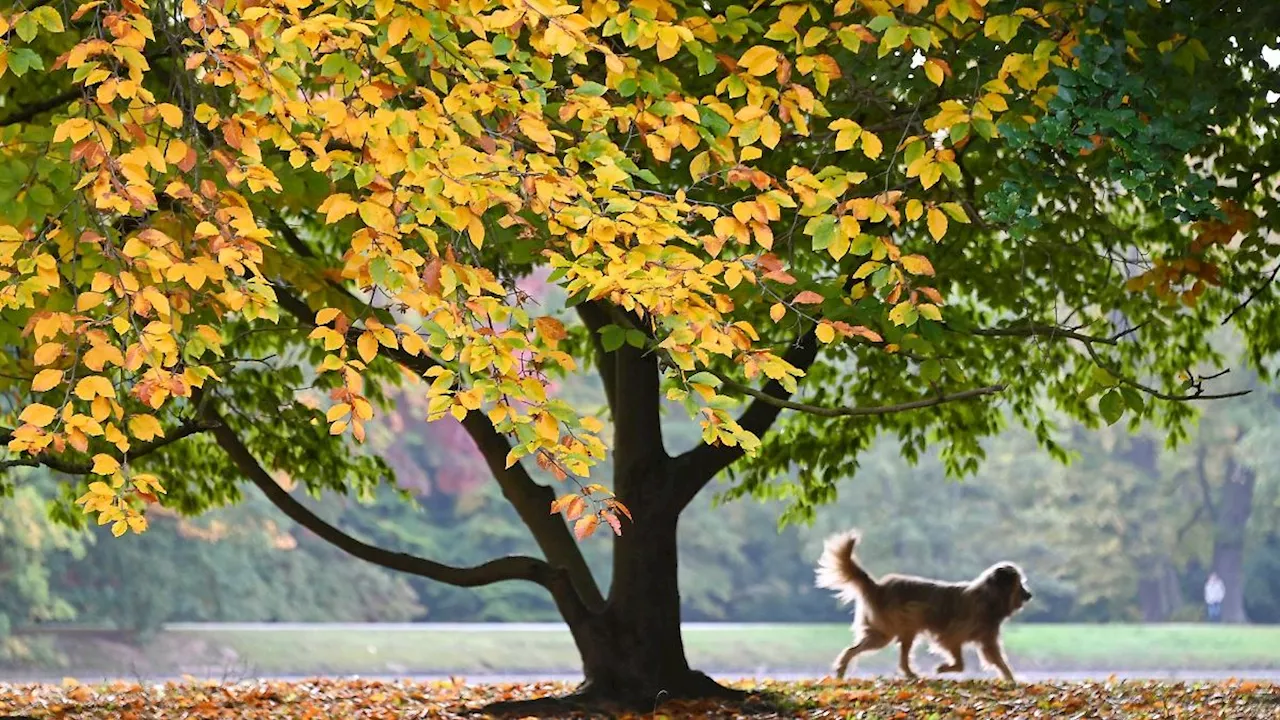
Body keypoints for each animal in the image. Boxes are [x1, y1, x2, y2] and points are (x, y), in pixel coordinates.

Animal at [819, 527, 1029, 676]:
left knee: (870, 651)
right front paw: (943, 668)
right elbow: (960, 662)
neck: (989, 597)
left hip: (891, 630)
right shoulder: (951, 636)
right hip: (895, 627)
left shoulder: (987, 641)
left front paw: (1011, 680)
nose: (1029, 595)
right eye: (1019, 585)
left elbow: (999, 662)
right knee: (863, 649)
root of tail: (878, 587)